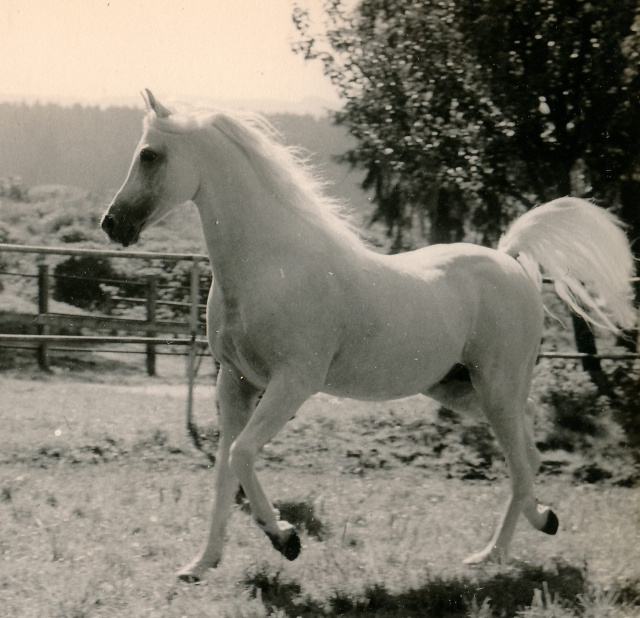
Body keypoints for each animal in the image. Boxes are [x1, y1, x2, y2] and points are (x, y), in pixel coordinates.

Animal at [101, 89, 636, 580]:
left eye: (149, 155)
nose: (112, 225)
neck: (270, 266)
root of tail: (512, 262)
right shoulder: (235, 382)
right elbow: (223, 471)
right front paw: (201, 564)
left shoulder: (293, 383)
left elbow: (241, 454)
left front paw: (285, 539)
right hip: (464, 390)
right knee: (529, 448)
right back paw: (529, 527)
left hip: (495, 387)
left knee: (521, 464)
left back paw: (500, 550)